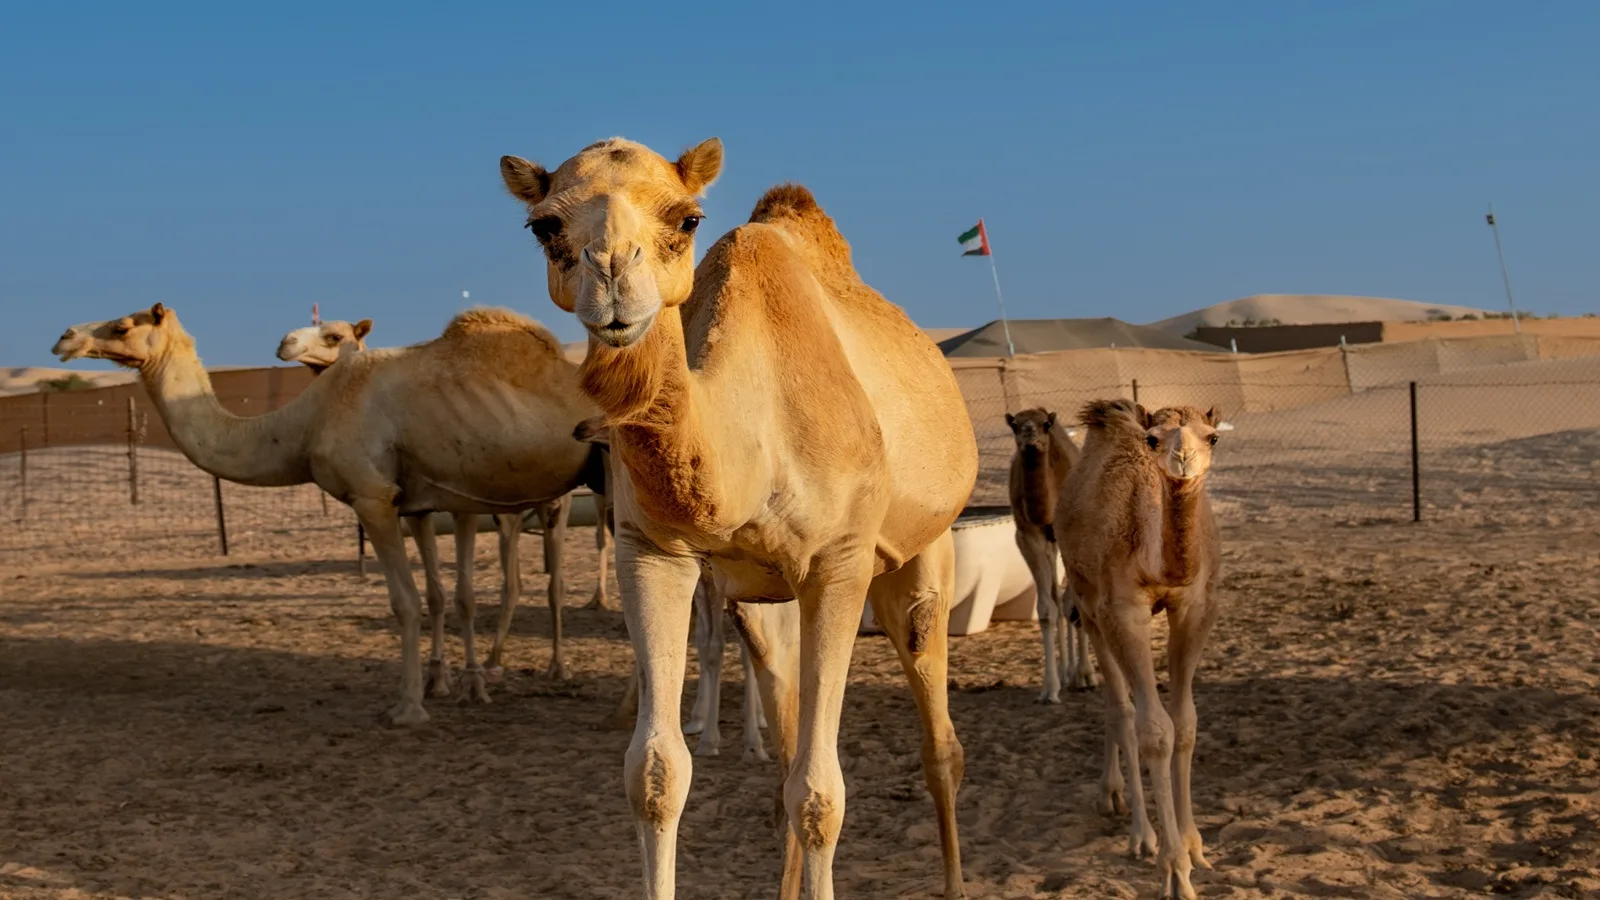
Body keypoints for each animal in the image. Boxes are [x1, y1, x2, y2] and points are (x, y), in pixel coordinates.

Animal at [53, 304, 603, 724]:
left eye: (122, 325)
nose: (65, 336)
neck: (303, 423)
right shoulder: (419, 503)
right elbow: (436, 595)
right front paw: (442, 685)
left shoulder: (373, 496)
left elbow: (405, 602)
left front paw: (407, 707)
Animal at [500, 137, 978, 900]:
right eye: (545, 225)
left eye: (687, 218)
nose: (612, 279)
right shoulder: (652, 551)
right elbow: (656, 775)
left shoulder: (839, 565)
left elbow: (822, 794)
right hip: (763, 603)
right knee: (785, 742)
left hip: (919, 557)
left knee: (938, 740)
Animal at [1006, 408, 1095, 702]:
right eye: (1015, 425)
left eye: (1045, 424)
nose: (1030, 439)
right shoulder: (1028, 536)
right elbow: (1047, 609)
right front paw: (1049, 689)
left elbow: (1074, 604)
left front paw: (1084, 675)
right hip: (1051, 545)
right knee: (1059, 599)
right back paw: (1066, 674)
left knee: (1071, 603)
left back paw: (1081, 675)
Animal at [1055, 399, 1230, 900]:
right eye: (1153, 439)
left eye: (1212, 436)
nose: (1182, 458)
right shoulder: (1122, 611)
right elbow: (1154, 731)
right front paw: (1174, 871)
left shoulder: (1196, 606)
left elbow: (1185, 723)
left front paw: (1193, 846)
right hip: (1090, 607)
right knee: (1121, 710)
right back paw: (1139, 832)